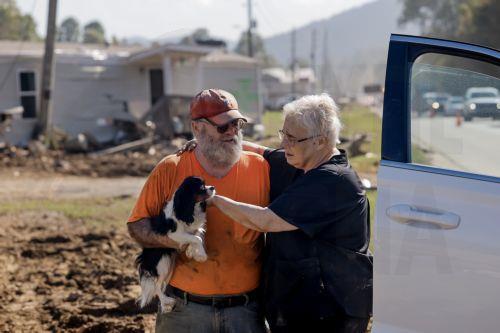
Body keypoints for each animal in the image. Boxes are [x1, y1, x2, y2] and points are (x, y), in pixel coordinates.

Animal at [135, 176, 215, 312]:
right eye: (201, 187)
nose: (213, 187)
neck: (189, 208)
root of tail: (144, 260)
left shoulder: (193, 228)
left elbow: (197, 234)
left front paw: (191, 252)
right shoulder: (174, 234)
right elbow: (196, 239)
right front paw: (201, 256)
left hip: (170, 265)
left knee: (162, 285)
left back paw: (165, 305)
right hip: (163, 263)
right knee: (157, 286)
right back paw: (167, 301)